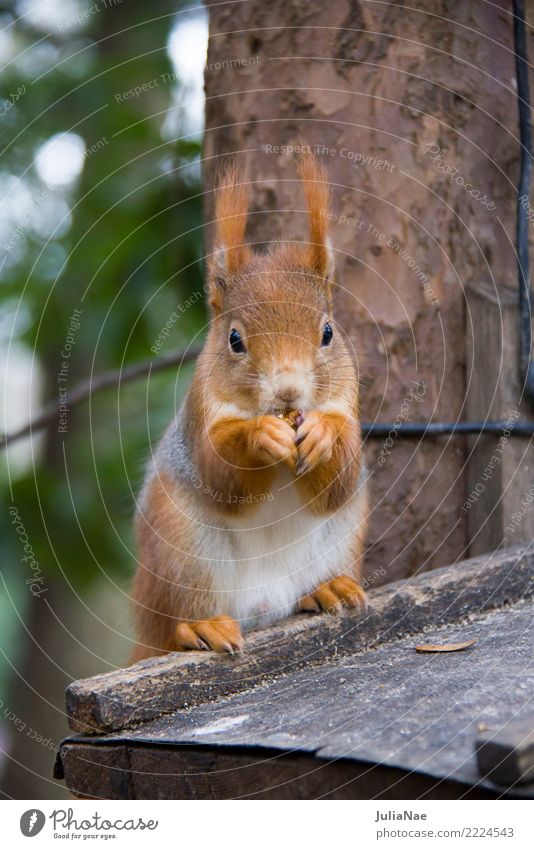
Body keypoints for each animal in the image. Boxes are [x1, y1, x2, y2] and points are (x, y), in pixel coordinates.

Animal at [132, 152, 370, 660]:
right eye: (234, 339)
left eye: (328, 332)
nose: (288, 393)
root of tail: (263, 607)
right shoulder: (201, 418)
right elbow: (220, 473)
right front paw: (262, 436)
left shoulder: (348, 405)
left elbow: (340, 478)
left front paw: (322, 434)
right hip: (183, 551)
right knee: (177, 622)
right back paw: (200, 627)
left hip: (341, 538)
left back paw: (329, 589)